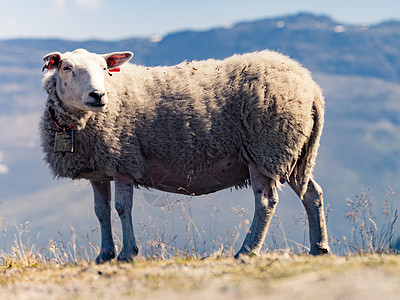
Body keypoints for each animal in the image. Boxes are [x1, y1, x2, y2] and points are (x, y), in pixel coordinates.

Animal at [40, 48, 330, 262]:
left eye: (104, 68)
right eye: (66, 68)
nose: (98, 95)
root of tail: (313, 89)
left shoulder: (124, 160)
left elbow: (122, 209)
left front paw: (127, 253)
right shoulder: (99, 170)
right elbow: (101, 212)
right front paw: (104, 255)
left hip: (265, 147)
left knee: (266, 202)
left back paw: (247, 251)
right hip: (291, 151)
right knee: (312, 194)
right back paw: (319, 248)